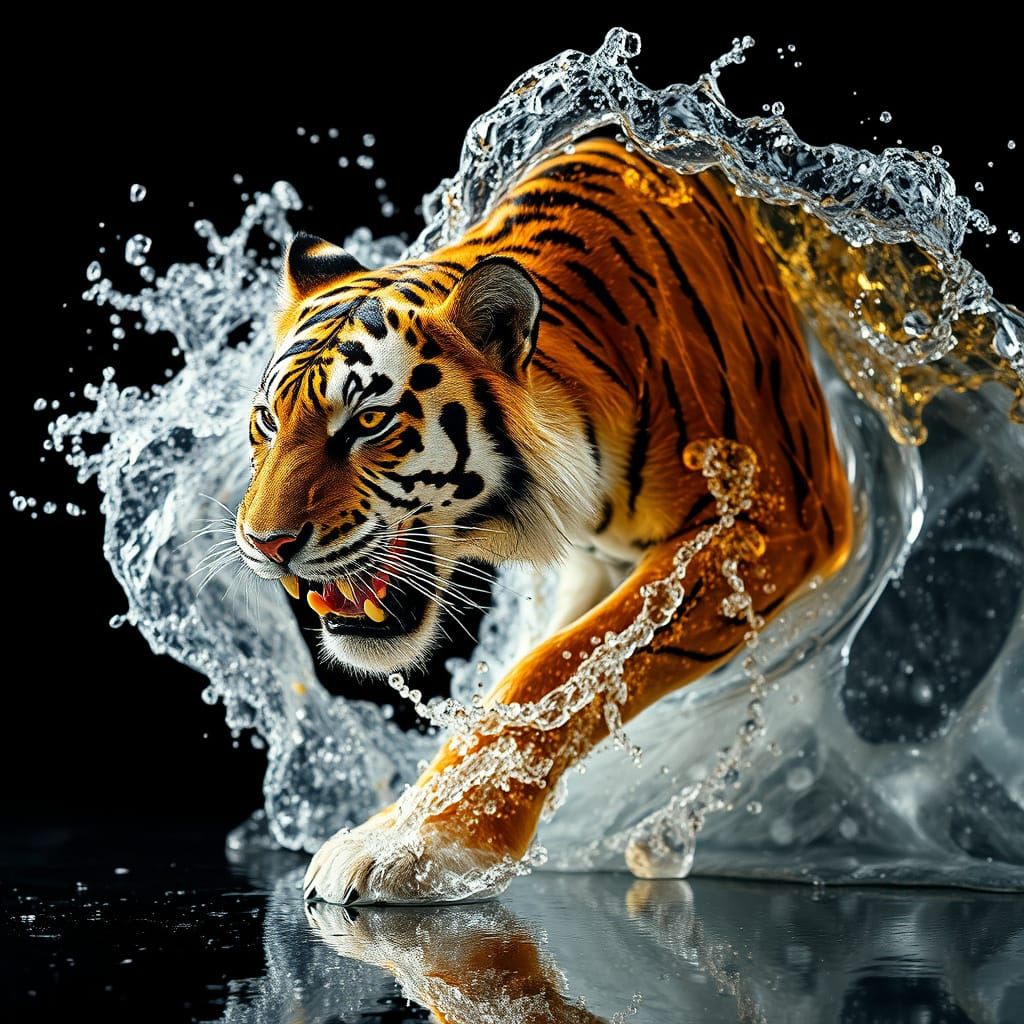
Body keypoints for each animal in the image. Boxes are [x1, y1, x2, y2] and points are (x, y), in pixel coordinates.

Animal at [235, 137, 853, 905]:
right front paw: (399, 823)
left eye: (369, 422)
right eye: (267, 420)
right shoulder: (598, 561)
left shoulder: (767, 522)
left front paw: (437, 844)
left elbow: (557, 670)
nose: (265, 545)